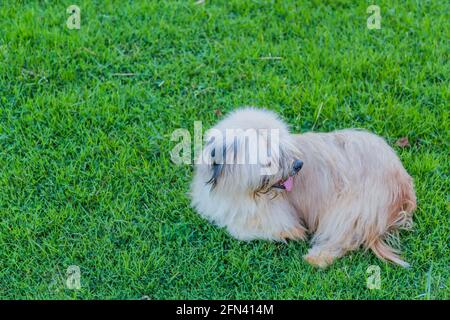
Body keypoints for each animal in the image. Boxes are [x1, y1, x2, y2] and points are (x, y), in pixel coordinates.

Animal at [189, 107, 414, 268]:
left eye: (283, 146)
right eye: (269, 155)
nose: (298, 165)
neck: (241, 190)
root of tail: (403, 182)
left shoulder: (280, 221)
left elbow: (240, 229)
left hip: (351, 209)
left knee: (345, 238)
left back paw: (318, 257)